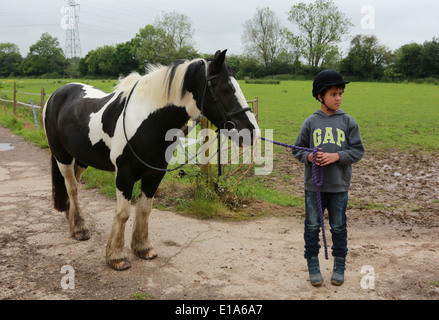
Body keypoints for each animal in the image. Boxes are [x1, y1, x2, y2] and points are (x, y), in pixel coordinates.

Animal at [43, 50, 260, 270]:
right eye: (224, 88)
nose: (251, 132)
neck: (147, 122)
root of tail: (57, 94)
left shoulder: (155, 175)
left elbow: (145, 210)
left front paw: (143, 247)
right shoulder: (124, 175)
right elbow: (123, 213)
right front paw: (116, 256)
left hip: (82, 159)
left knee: (74, 185)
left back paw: (72, 219)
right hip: (62, 156)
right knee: (72, 188)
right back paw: (79, 229)